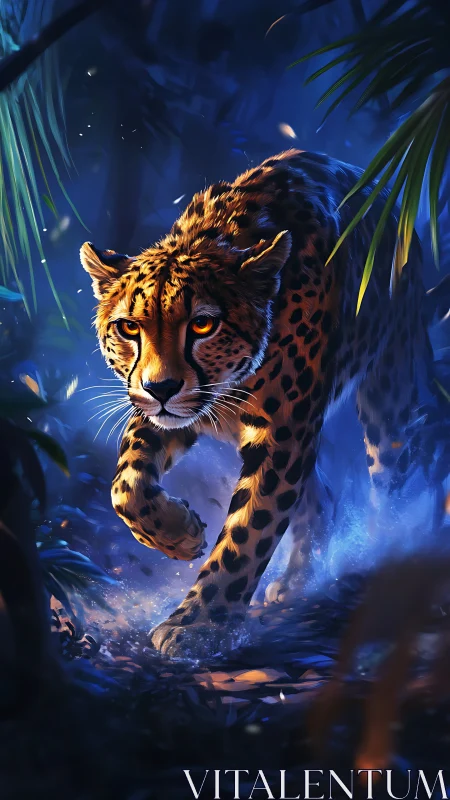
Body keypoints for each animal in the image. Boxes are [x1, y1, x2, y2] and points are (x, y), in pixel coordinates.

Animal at [80, 149, 431, 658]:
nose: (161, 388)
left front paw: (199, 624)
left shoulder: (283, 429)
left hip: (391, 390)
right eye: (129, 328)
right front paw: (180, 534)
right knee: (322, 495)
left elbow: (249, 530)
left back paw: (386, 557)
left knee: (393, 482)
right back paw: (299, 577)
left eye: (203, 325)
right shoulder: (165, 411)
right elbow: (126, 486)